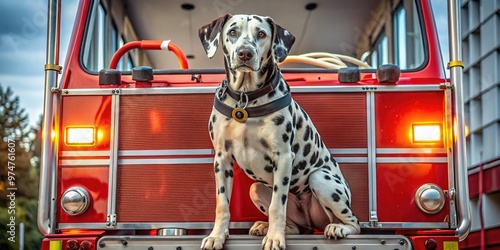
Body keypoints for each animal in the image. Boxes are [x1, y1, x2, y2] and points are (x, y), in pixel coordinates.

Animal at [199, 14, 360, 249]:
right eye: (232, 32)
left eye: (261, 34)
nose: (245, 53)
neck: (246, 99)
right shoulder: (222, 159)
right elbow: (222, 205)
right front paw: (216, 236)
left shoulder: (283, 156)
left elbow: (277, 205)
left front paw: (275, 238)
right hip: (256, 189)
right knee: (295, 227)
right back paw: (265, 227)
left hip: (321, 179)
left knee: (354, 222)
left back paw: (337, 228)